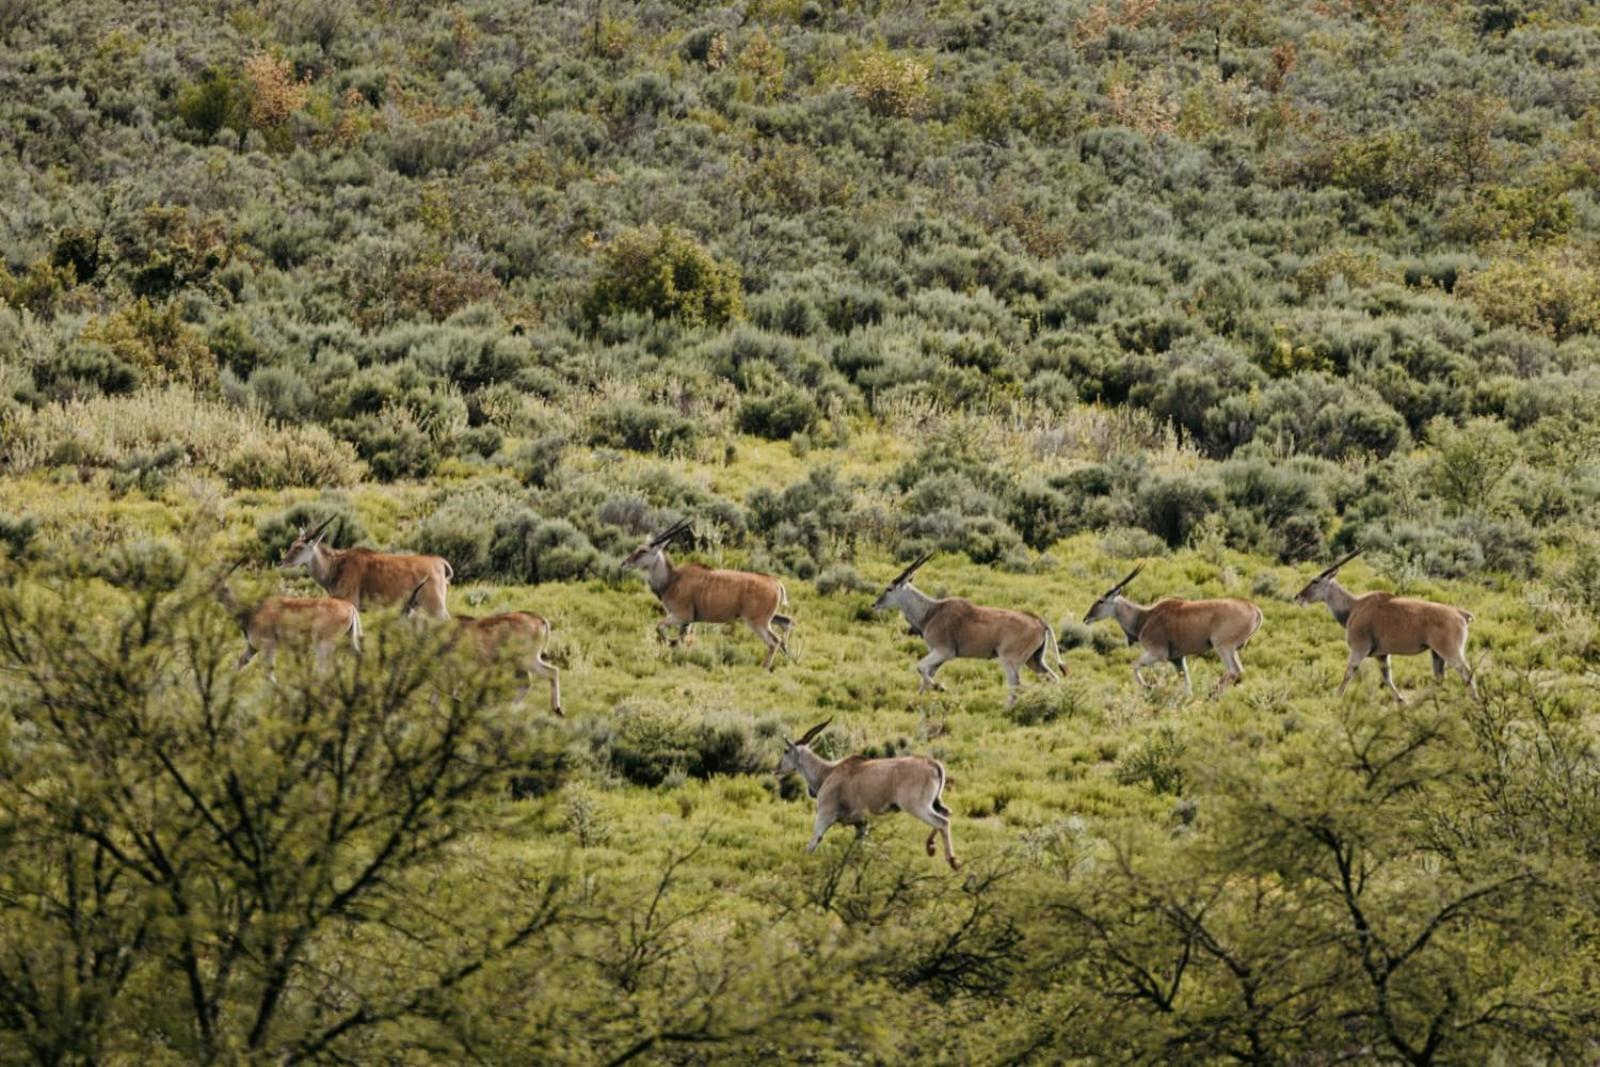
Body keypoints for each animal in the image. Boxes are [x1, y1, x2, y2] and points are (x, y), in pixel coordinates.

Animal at [617, 521, 793, 671]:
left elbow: (660, 628)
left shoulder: (681, 616)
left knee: (774, 641)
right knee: (787, 622)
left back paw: (764, 668)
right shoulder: (687, 622)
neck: (672, 579)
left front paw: (672, 644)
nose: (624, 563)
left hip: (757, 622)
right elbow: (680, 637)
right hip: (767, 618)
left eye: (643, 551)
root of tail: (775, 582)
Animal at [777, 723, 960, 870]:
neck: (827, 772)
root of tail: (934, 764)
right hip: (935, 803)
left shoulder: (825, 815)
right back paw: (931, 846)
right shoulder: (861, 823)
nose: (776, 769)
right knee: (946, 812)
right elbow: (861, 848)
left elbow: (812, 843)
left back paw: (952, 860)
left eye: (785, 751)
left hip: (917, 807)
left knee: (942, 822)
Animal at [1088, 563, 1260, 697]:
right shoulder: (1177, 659)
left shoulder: (1158, 653)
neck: (1145, 617)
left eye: (1101, 601)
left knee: (1234, 671)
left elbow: (1134, 664)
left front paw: (1148, 686)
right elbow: (1187, 684)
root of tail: (1254, 609)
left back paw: (1212, 694)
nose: (1086, 618)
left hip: (1223, 646)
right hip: (1231, 649)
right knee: (1238, 672)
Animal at [1292, 556, 1478, 703]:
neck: (1354, 606)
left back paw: (1474, 701)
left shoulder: (1359, 649)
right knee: (1440, 678)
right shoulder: (1382, 655)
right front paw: (1402, 702)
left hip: (1450, 652)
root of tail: (1460, 613)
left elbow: (1349, 673)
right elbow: (1387, 678)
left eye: (1315, 581)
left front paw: (1336, 699)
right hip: (1437, 654)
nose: (1297, 597)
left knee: (1467, 673)